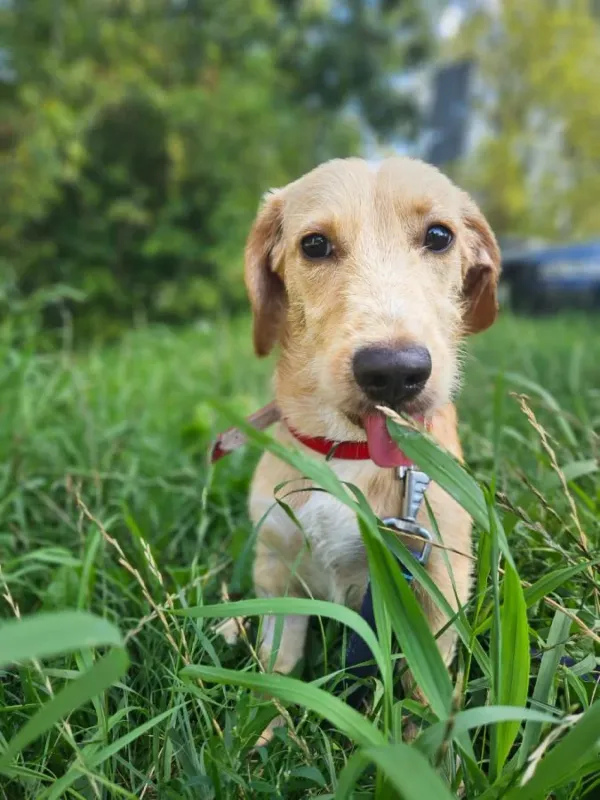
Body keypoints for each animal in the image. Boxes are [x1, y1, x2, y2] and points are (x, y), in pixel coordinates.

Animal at [218, 156, 500, 744]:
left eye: (439, 236)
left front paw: (429, 753)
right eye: (315, 245)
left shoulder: (438, 583)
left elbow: (426, 691)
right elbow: (277, 666)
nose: (393, 373)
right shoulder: (278, 569)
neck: (349, 453)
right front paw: (261, 734)